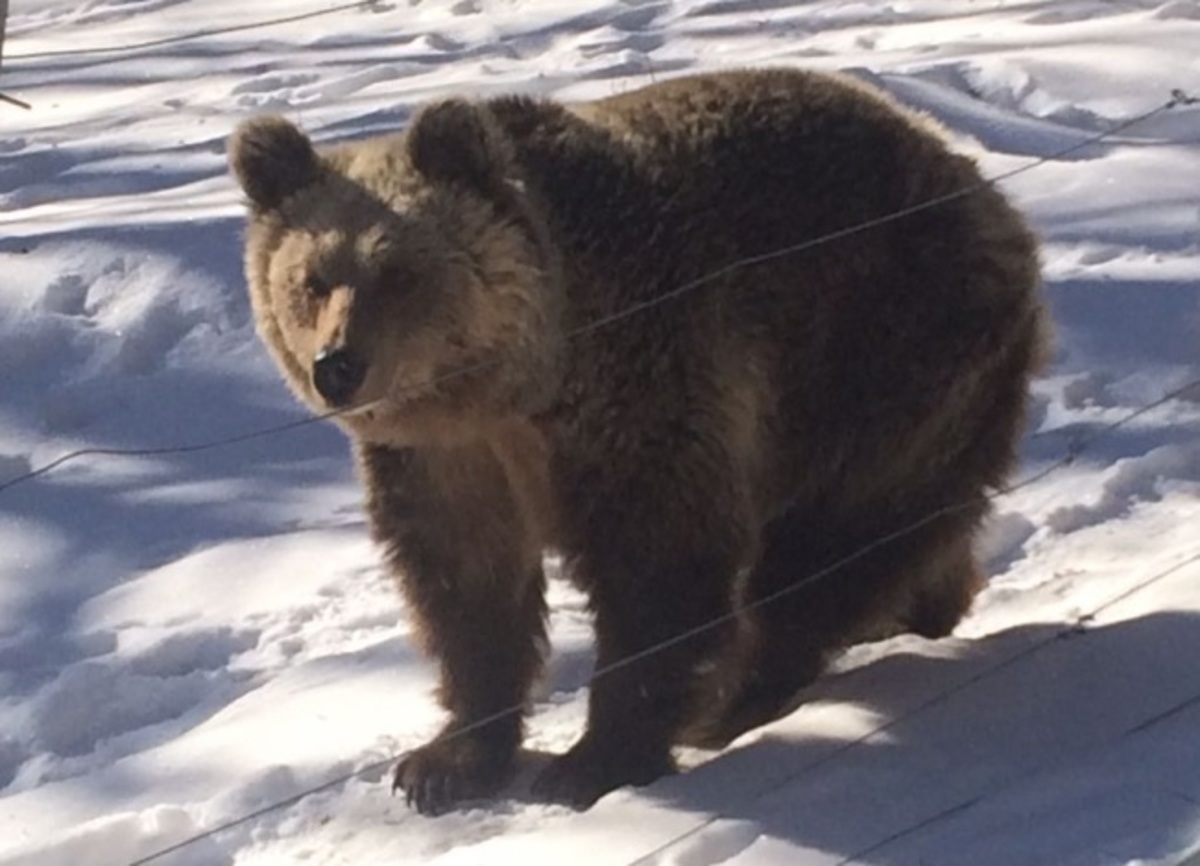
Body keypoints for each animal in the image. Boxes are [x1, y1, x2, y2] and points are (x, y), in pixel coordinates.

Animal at [226, 65, 1051, 810]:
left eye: (397, 271)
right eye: (309, 279)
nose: (339, 366)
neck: (512, 386)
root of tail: (980, 186)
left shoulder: (637, 383)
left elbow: (655, 562)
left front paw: (593, 760)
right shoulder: (447, 456)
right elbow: (464, 581)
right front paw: (446, 761)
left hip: (879, 348)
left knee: (835, 537)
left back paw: (738, 697)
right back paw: (925, 605)